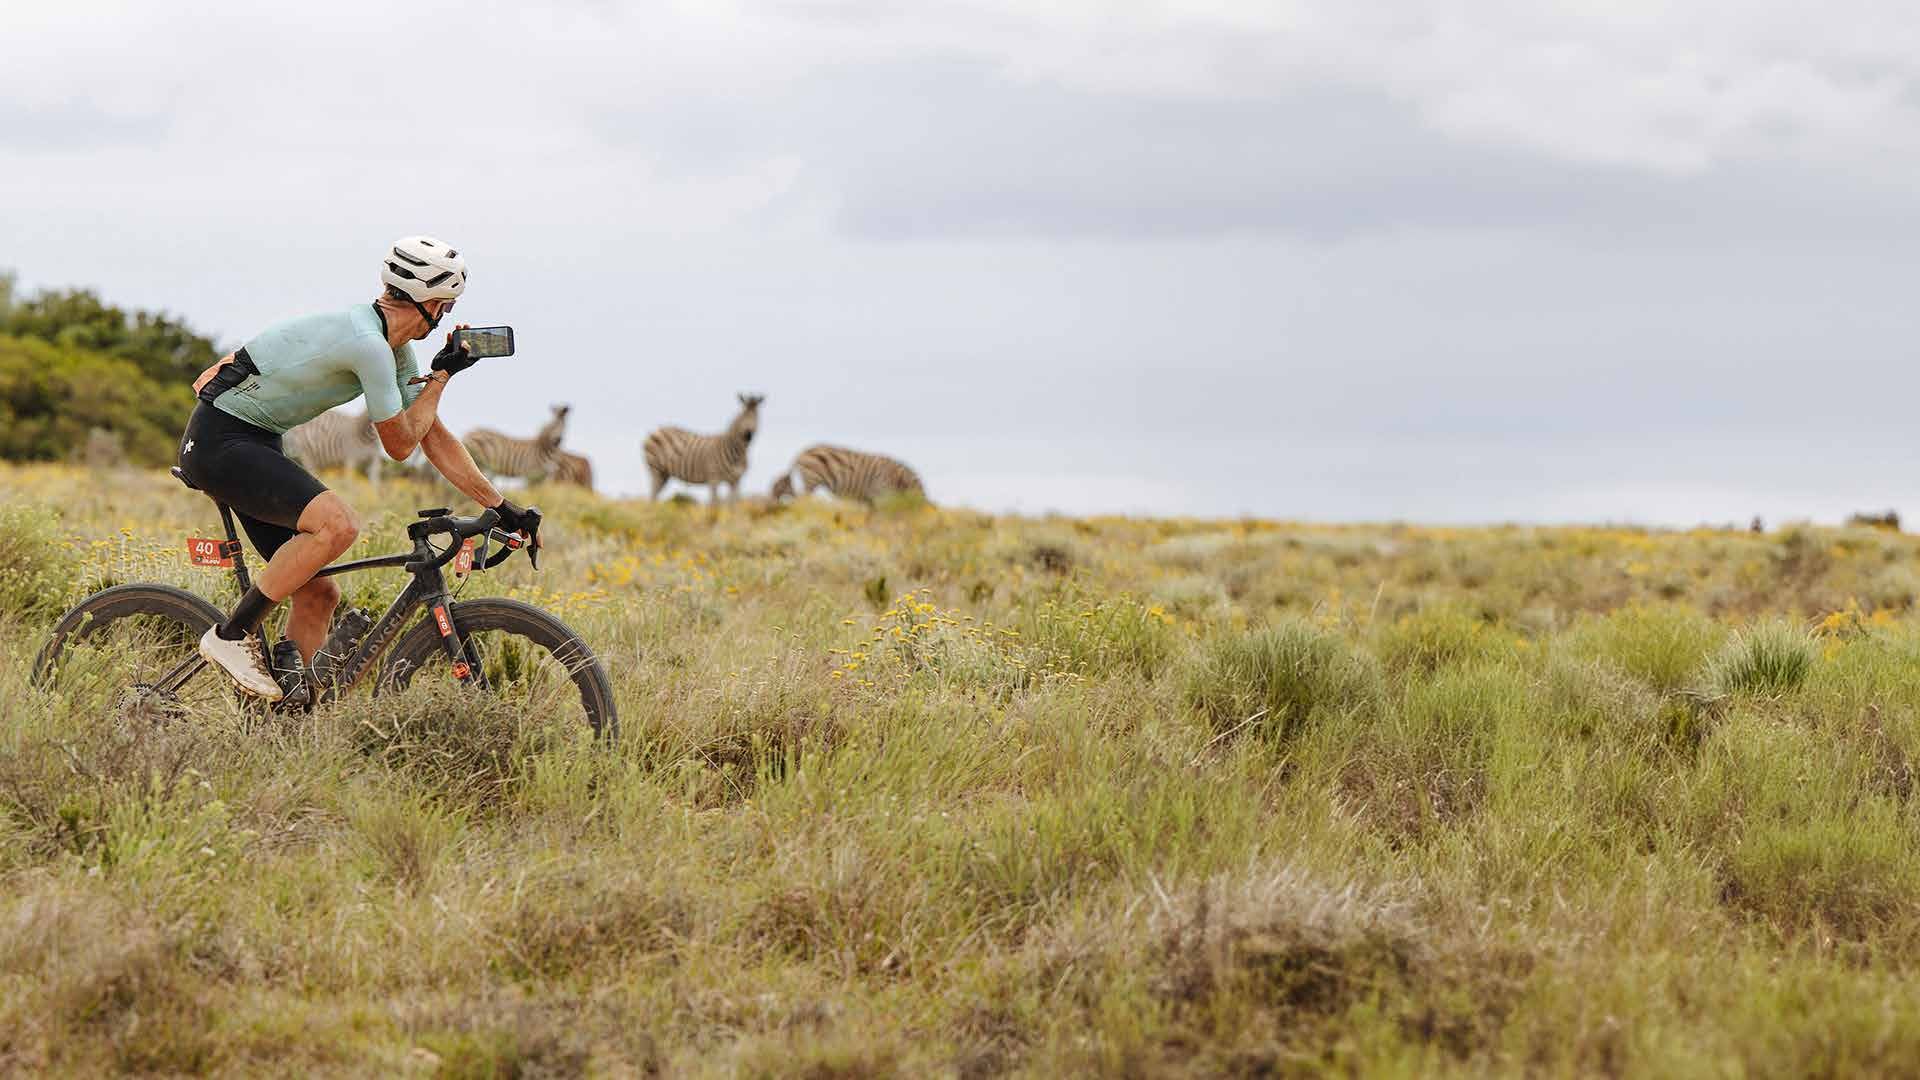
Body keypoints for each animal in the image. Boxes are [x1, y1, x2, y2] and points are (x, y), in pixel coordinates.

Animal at [770, 444, 925, 505]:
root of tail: (801, 453)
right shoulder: (880, 492)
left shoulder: (869, 500)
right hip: (812, 480)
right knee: (802, 499)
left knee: (793, 494)